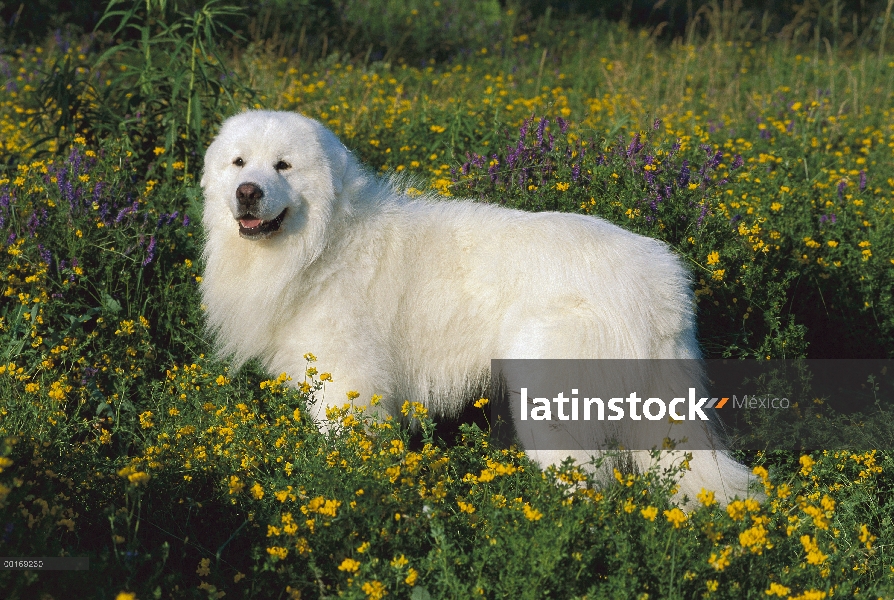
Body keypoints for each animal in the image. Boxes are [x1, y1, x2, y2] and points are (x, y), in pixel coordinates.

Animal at [200, 110, 752, 504]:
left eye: (283, 165)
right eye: (239, 163)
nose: (247, 193)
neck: (323, 241)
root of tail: (661, 286)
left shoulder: (347, 385)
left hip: (551, 402)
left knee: (587, 489)